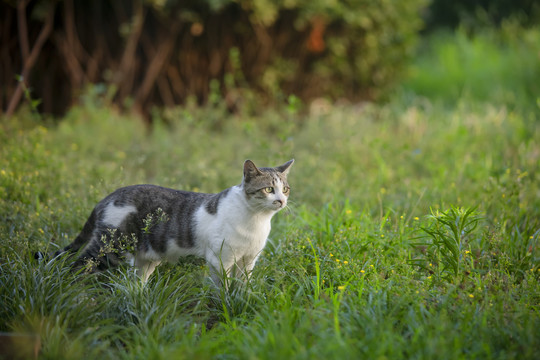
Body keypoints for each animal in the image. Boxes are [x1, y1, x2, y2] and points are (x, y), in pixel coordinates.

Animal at [46, 159, 294, 286]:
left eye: (285, 189)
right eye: (268, 189)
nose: (281, 200)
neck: (256, 220)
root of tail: (108, 197)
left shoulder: (249, 259)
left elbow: (244, 285)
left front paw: (242, 299)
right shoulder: (221, 259)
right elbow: (221, 287)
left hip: (145, 259)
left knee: (135, 285)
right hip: (110, 248)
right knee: (78, 265)